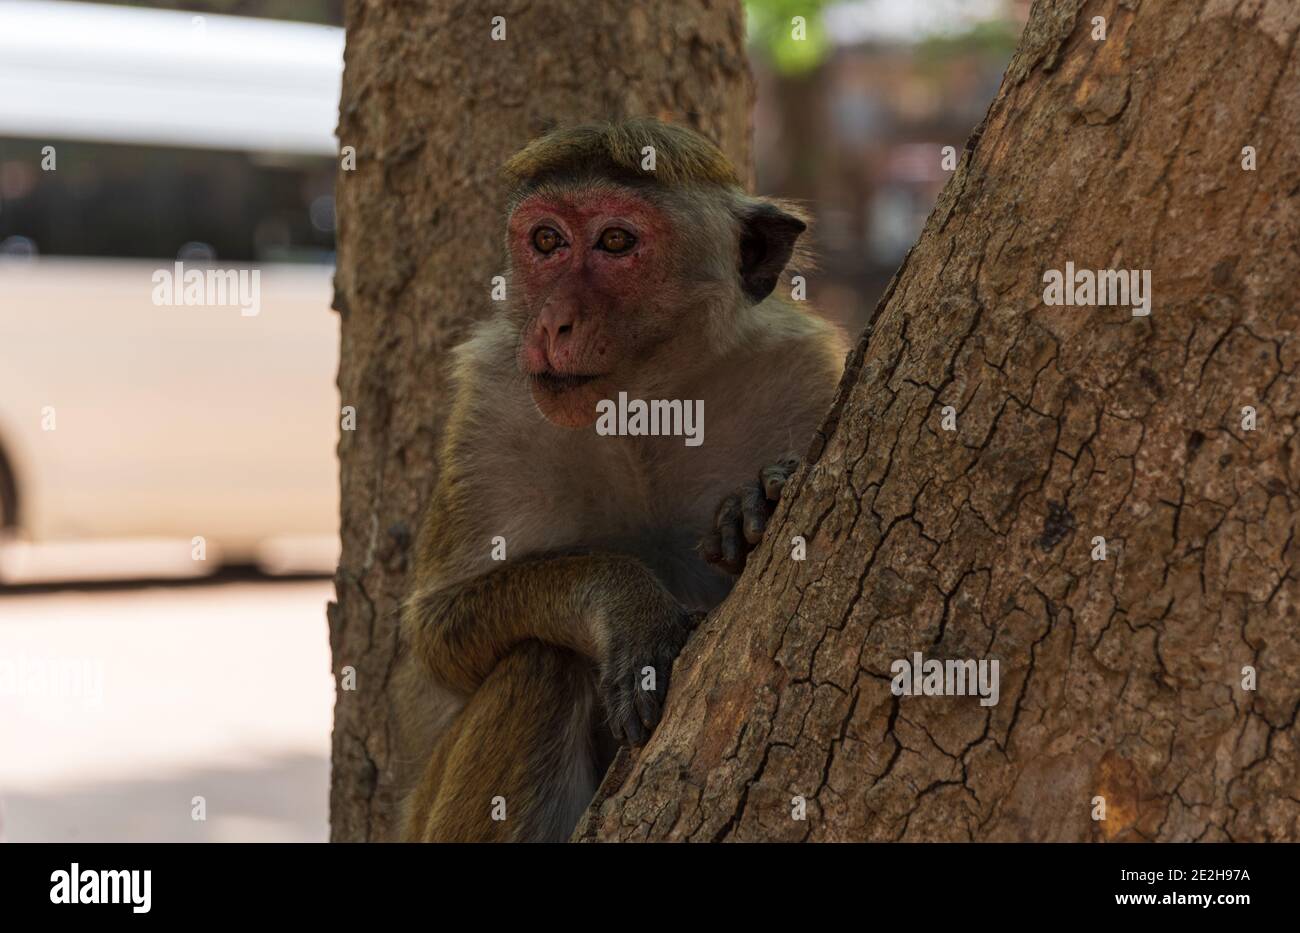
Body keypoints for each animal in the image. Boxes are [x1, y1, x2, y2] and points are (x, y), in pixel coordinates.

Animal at [395, 118, 847, 847]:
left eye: (615, 242)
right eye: (546, 241)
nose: (553, 322)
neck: (645, 401)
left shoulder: (802, 370)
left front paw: (756, 501)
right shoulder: (491, 402)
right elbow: (436, 634)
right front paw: (626, 603)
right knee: (540, 666)